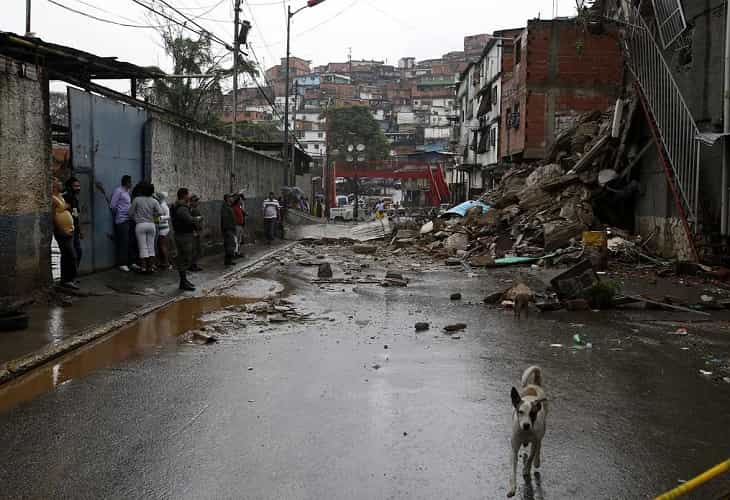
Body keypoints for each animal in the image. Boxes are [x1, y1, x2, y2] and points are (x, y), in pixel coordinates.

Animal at [506, 366, 544, 498]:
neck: (526, 432)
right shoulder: (514, 447)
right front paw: (512, 487)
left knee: (539, 445)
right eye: (520, 412)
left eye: (532, 413)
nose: (526, 425)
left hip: (543, 431)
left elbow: (531, 456)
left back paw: (537, 461)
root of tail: (534, 384)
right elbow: (512, 468)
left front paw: (526, 469)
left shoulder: (535, 440)